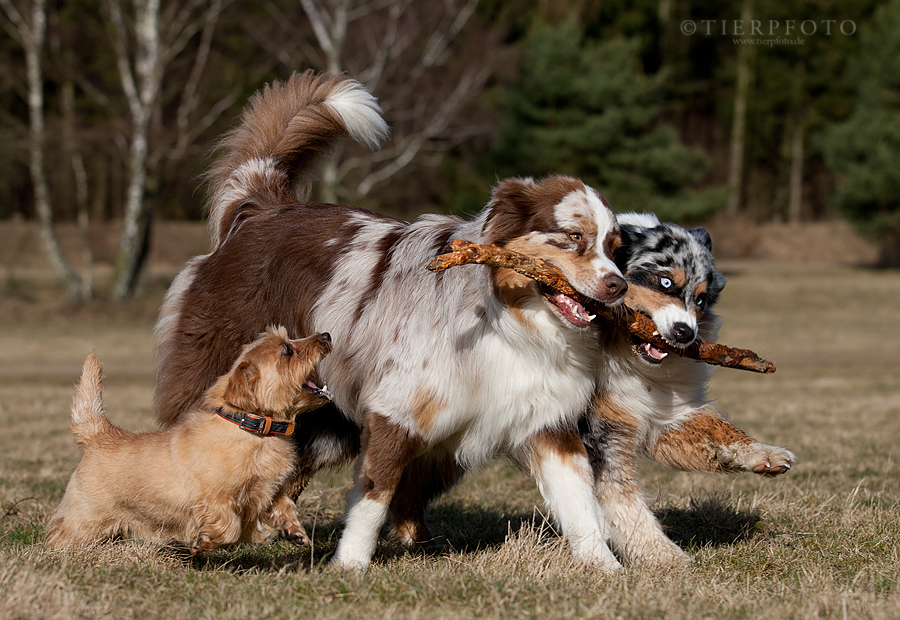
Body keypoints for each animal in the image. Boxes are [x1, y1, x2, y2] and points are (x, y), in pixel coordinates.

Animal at [46, 326, 334, 556]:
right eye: (287, 349)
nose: (326, 335)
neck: (254, 430)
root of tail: (100, 433)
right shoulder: (214, 497)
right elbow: (229, 526)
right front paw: (204, 542)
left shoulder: (268, 490)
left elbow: (286, 506)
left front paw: (295, 532)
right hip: (84, 519)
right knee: (59, 535)